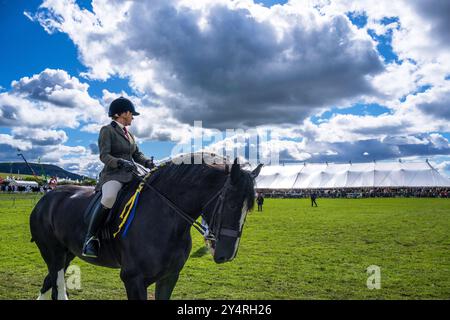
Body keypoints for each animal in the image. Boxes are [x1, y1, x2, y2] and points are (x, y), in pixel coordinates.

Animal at [29, 155, 262, 300]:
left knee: (51, 281)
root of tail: (46, 198)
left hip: (67, 254)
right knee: (55, 283)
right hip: (53, 253)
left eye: (248, 208)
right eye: (231, 204)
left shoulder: (169, 276)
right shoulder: (133, 279)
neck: (166, 222)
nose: (227, 255)